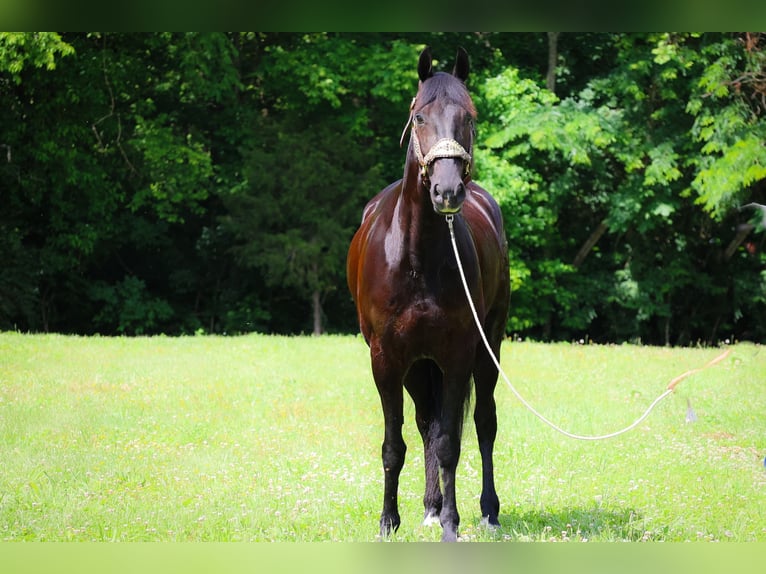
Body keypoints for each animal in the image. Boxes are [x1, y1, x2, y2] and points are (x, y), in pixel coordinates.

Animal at [346, 46, 510, 542]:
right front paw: (389, 520)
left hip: (488, 347)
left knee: (484, 422)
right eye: (419, 116)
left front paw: (452, 525)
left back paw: (488, 510)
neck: (416, 256)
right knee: (423, 424)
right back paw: (431, 506)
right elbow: (394, 444)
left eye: (469, 117)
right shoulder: (386, 359)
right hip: (417, 366)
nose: (447, 190)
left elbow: (451, 441)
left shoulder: (457, 354)